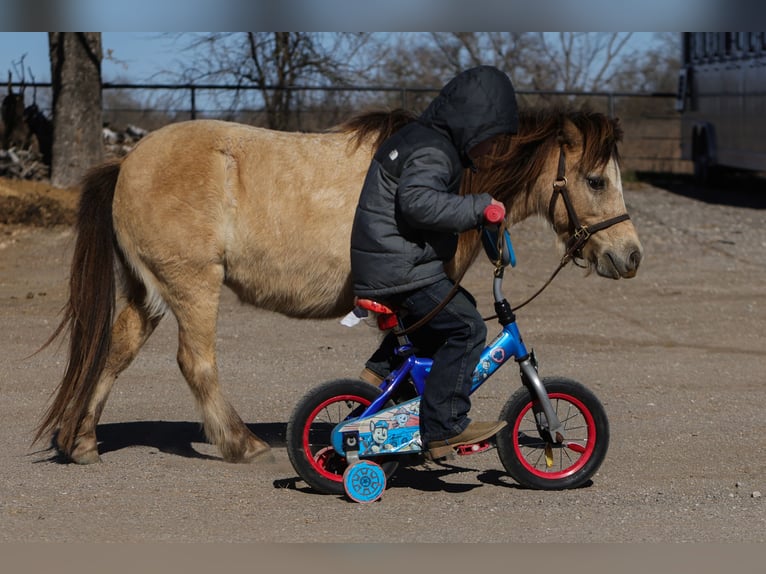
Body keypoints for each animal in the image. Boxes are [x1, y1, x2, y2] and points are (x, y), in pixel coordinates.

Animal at [34, 106, 643, 465]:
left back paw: (81, 440)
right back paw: (241, 443)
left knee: (116, 350)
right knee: (196, 362)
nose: (630, 255)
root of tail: (126, 162)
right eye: (595, 180)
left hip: (151, 293)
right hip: (192, 286)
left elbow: (387, 368)